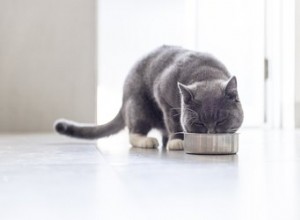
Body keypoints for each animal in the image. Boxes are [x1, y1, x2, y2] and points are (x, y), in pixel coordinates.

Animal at [55, 45, 244, 150]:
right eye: (199, 123)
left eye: (221, 120)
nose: (211, 133)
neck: (205, 73)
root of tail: (123, 100)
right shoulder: (163, 95)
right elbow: (173, 122)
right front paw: (177, 141)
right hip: (138, 105)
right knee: (134, 131)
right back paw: (147, 140)